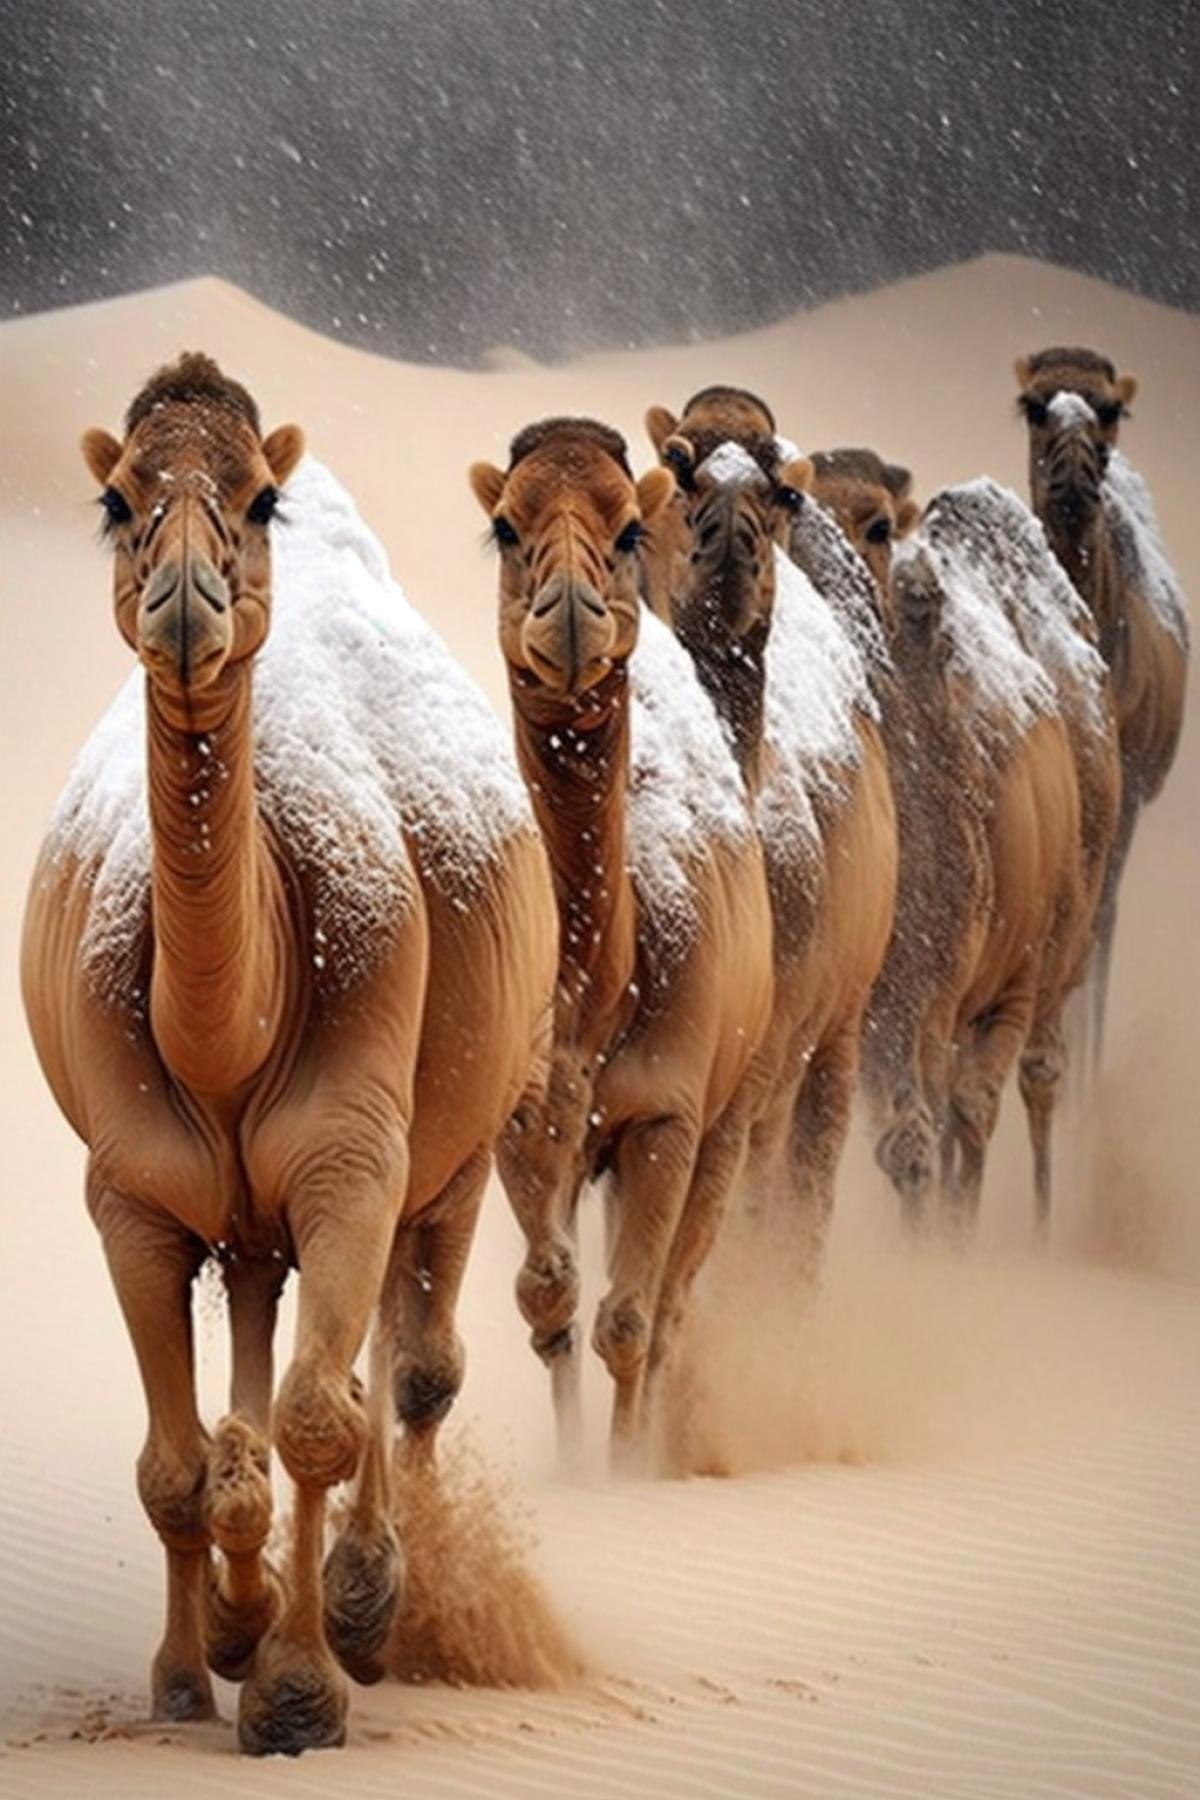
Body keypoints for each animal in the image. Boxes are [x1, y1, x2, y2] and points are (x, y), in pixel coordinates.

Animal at [21, 355, 556, 1755]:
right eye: (116, 499)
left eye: (259, 499)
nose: (186, 594)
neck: (230, 1033)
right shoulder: (133, 1200)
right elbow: (177, 1468)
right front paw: (194, 1659)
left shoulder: (351, 1161)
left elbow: (322, 1419)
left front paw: (301, 1686)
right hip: (252, 1222)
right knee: (264, 1344)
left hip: (461, 1146)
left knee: (411, 1367)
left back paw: (372, 1604)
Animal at [468, 416, 773, 1463]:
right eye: (506, 526)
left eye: (631, 528)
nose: (570, 614)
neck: (602, 988)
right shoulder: (528, 1121)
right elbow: (549, 1297)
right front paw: (573, 1468)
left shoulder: (665, 1118)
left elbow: (631, 1321)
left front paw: (623, 1469)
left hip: (735, 1108)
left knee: (674, 1303)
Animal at [642, 389, 897, 1268]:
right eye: (678, 466)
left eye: (782, 491)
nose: (728, 535)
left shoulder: (765, 1055)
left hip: (841, 1023)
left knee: (806, 1177)